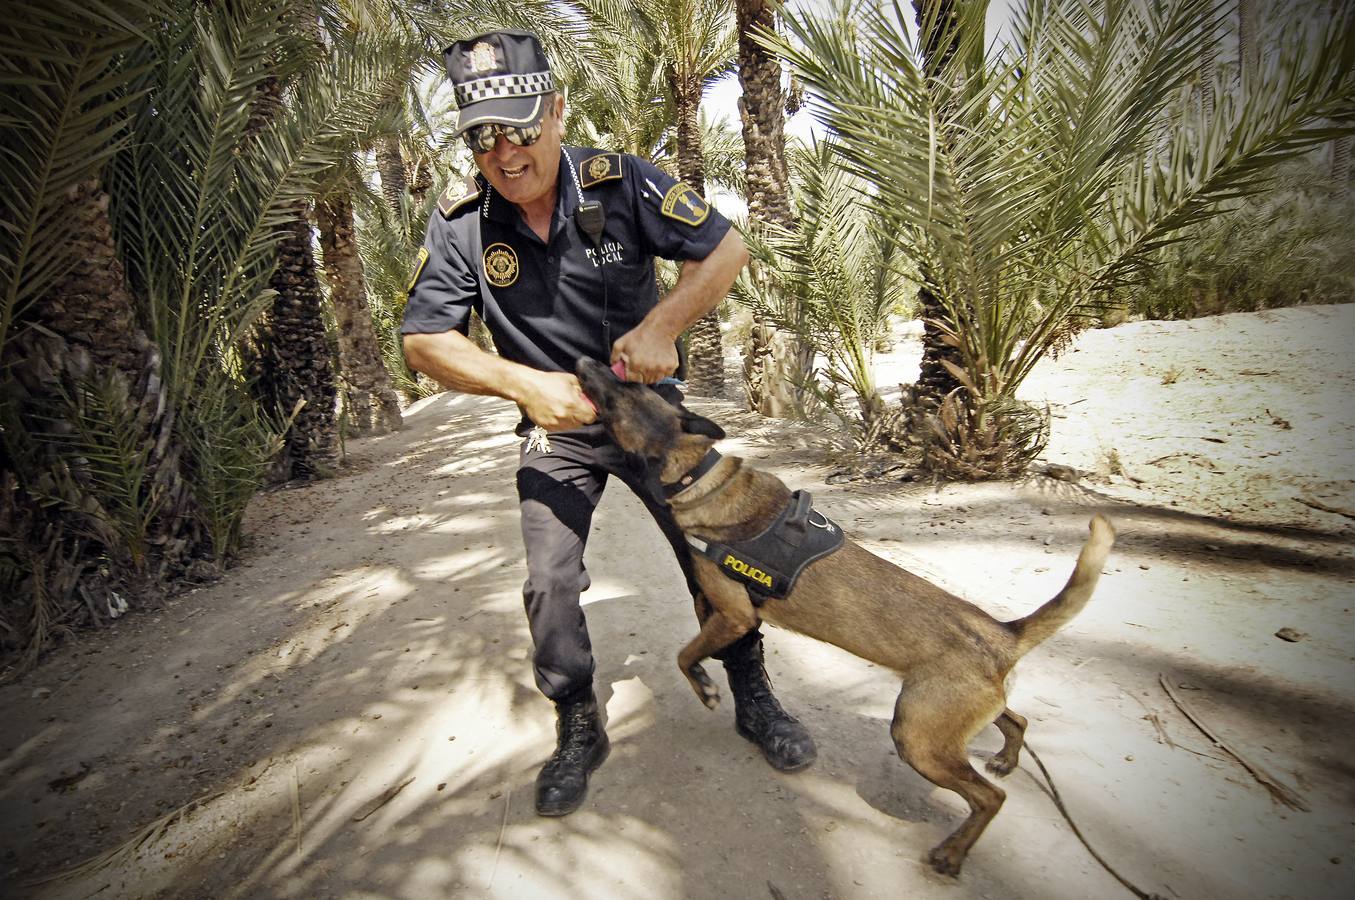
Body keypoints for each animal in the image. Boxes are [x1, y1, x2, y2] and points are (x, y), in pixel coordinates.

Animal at [571, 357, 1111, 872]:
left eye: (625, 389)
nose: (584, 360)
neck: (699, 474)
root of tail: (1003, 634)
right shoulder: (719, 611)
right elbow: (697, 645)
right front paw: (707, 677)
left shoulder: (735, 616)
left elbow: (684, 655)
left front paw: (704, 686)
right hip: (958, 715)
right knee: (1015, 721)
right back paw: (1004, 759)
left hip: (917, 736)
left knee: (989, 797)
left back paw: (953, 852)